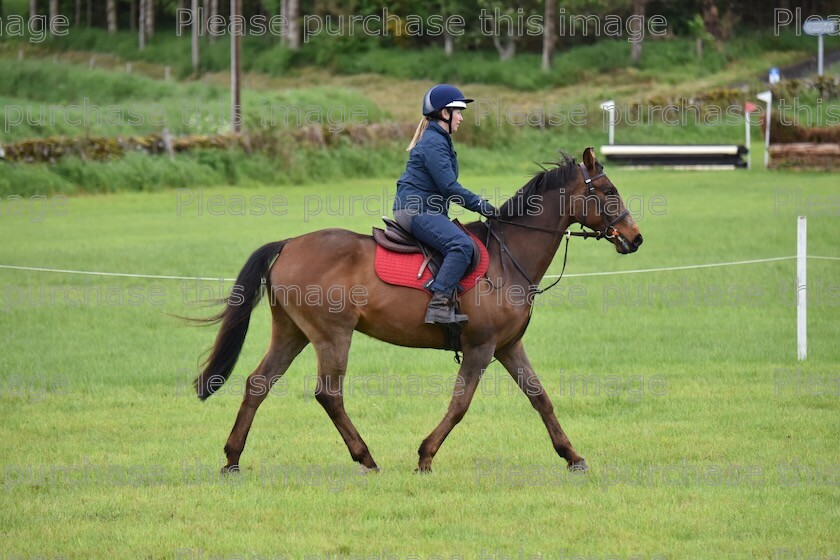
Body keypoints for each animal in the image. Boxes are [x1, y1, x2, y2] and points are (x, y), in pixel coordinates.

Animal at [195, 148, 644, 472]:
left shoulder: (507, 347)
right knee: (329, 394)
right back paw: (365, 457)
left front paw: (572, 456)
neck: (506, 258)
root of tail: (288, 244)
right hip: (331, 335)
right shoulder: (481, 349)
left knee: (258, 384)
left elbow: (541, 398)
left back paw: (232, 458)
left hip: (292, 332)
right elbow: (460, 405)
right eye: (608, 192)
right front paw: (425, 455)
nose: (635, 237)